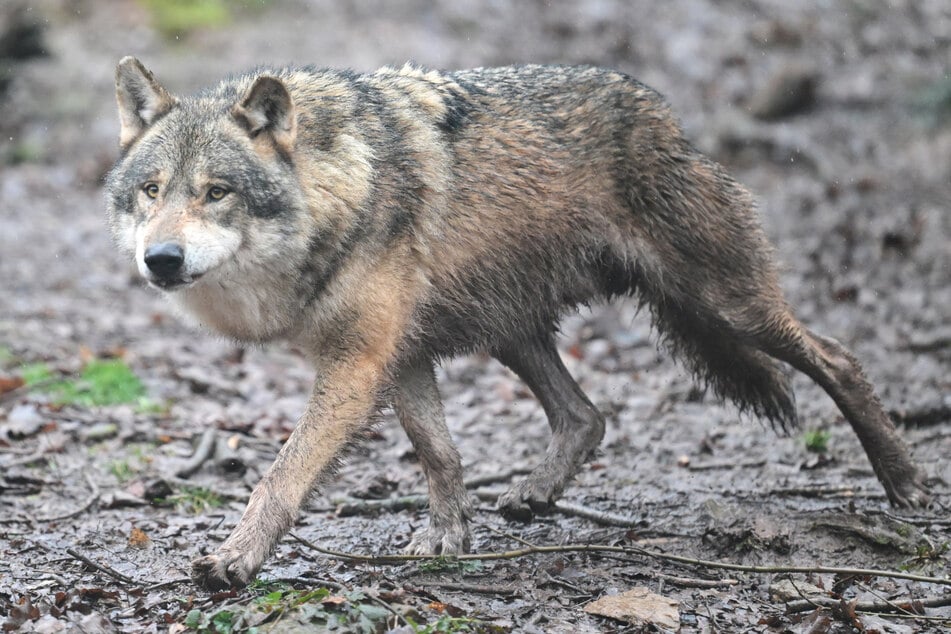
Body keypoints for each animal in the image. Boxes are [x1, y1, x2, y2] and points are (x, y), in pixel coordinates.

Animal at [105, 57, 929, 591]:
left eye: (216, 192)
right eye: (151, 190)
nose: (161, 259)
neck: (337, 188)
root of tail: (664, 115)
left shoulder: (357, 363)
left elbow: (279, 477)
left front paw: (234, 560)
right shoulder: (399, 356)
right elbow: (439, 453)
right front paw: (447, 537)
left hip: (725, 305)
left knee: (838, 357)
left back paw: (904, 485)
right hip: (510, 330)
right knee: (586, 415)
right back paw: (533, 495)